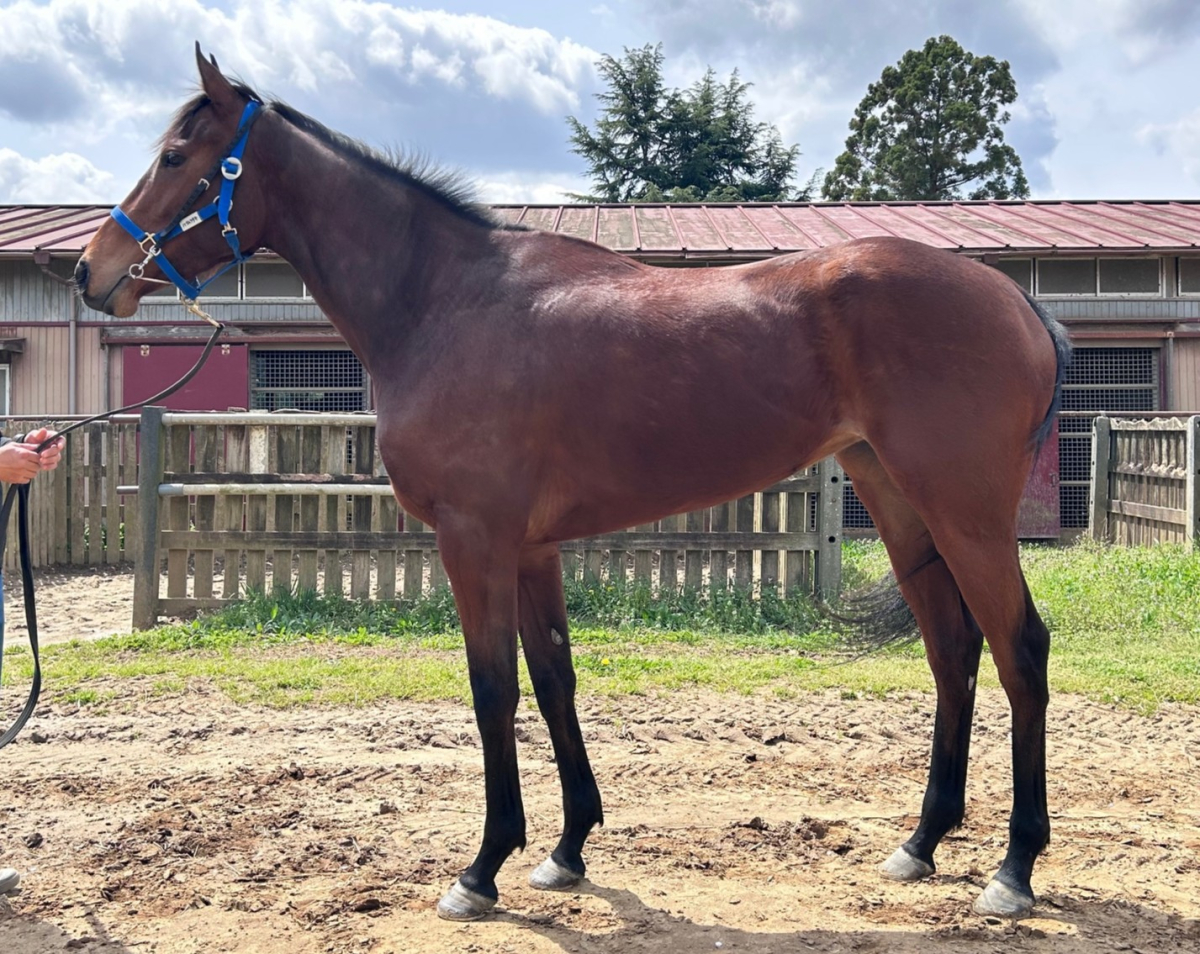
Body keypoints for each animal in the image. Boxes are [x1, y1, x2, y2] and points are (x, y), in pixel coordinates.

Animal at [76, 46, 1071, 923]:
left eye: (175, 157)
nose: (91, 273)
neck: (443, 303)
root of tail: (1014, 299)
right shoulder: (531, 548)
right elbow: (554, 677)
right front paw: (566, 850)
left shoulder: (473, 540)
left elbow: (493, 690)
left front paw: (481, 869)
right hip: (905, 510)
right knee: (953, 652)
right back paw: (921, 843)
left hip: (966, 516)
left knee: (1020, 651)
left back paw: (1014, 869)